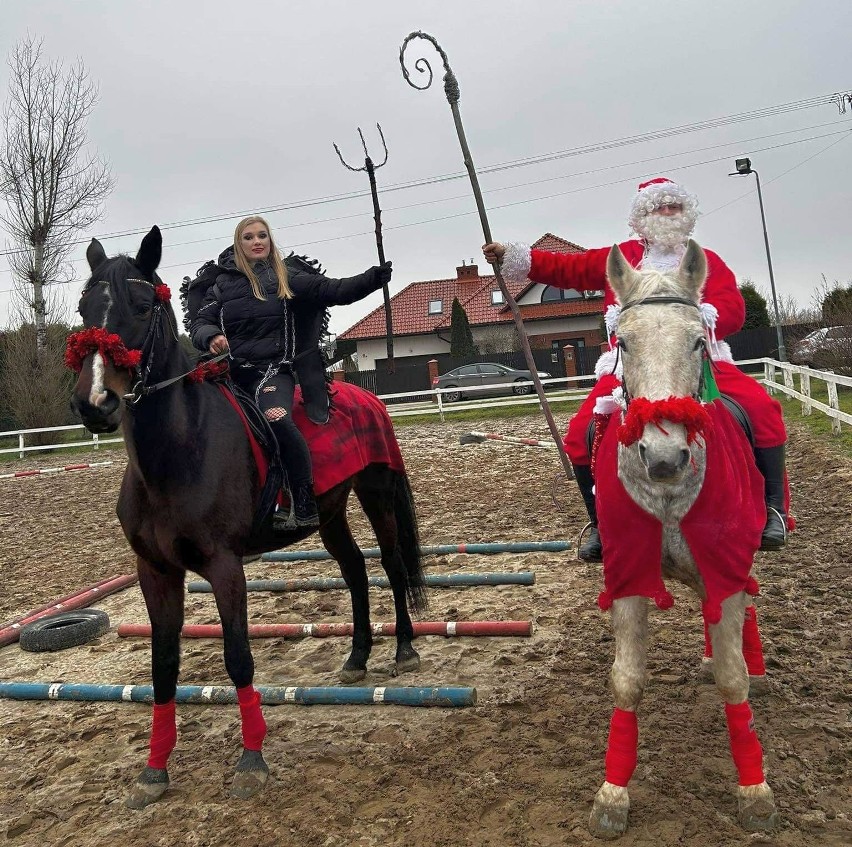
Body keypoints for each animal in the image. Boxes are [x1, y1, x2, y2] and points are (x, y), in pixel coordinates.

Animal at [67, 229, 426, 812]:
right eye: (83, 310)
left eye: (142, 306)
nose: (95, 402)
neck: (177, 454)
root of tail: (362, 393)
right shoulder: (155, 572)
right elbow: (163, 667)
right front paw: (154, 771)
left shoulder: (224, 567)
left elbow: (238, 658)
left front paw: (252, 761)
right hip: (330, 513)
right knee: (353, 571)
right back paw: (356, 658)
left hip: (376, 494)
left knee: (392, 566)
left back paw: (404, 650)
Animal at [584, 237, 780, 836]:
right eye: (622, 342)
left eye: (698, 339)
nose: (665, 456)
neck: (668, 495)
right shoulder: (627, 578)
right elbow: (626, 680)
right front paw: (612, 795)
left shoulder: (725, 564)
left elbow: (734, 681)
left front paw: (754, 791)